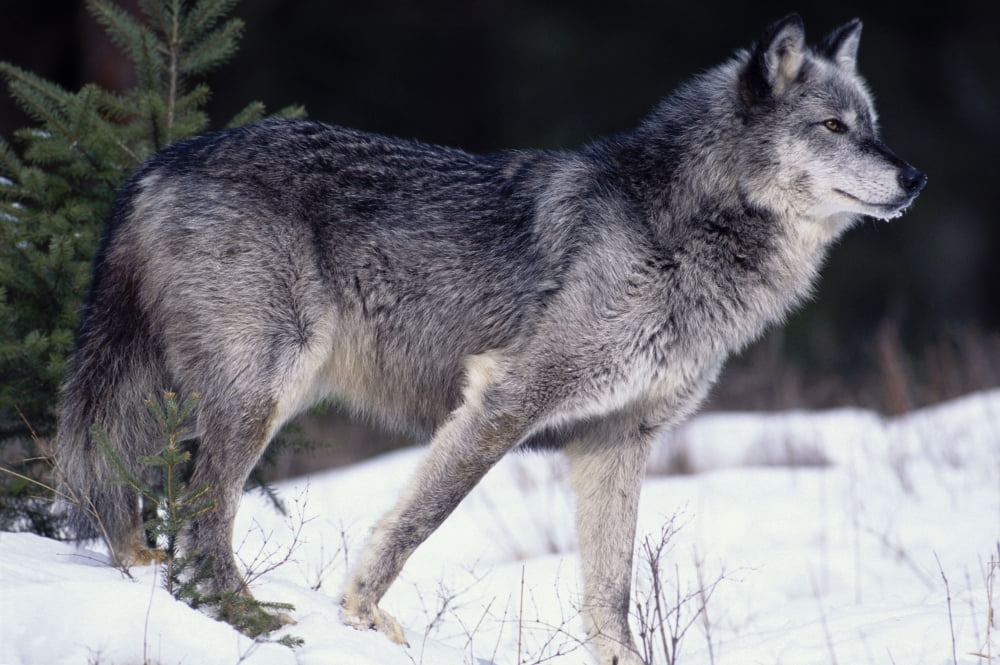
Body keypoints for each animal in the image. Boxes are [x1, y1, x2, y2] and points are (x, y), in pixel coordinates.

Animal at [56, 13, 924, 664]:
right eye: (834, 126)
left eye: (874, 127)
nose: (914, 177)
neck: (681, 229)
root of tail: (157, 163)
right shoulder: (508, 396)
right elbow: (416, 521)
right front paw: (360, 617)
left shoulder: (617, 440)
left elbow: (611, 591)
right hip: (261, 392)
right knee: (203, 513)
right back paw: (256, 623)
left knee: (135, 498)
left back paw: (143, 573)